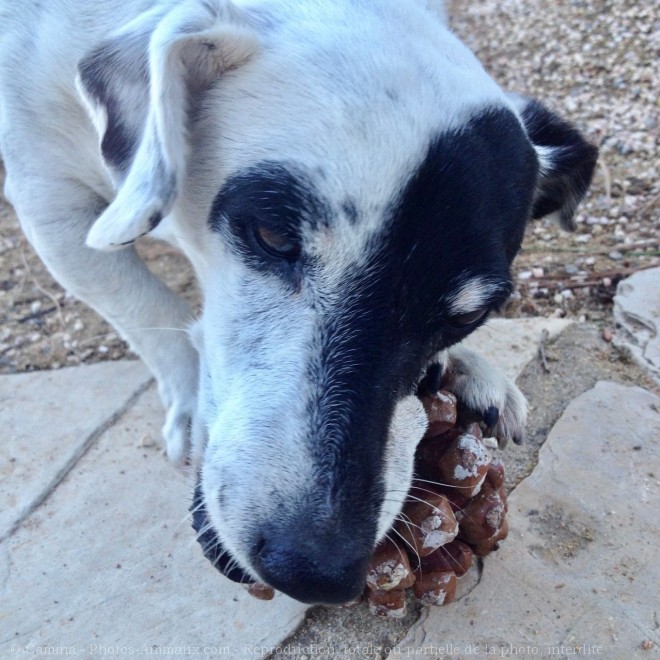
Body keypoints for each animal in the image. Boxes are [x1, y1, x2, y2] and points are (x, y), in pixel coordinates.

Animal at [0, 0, 600, 604]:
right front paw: (190, 406)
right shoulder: (50, 203)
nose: (315, 569)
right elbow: (148, 309)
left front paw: (468, 368)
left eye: (472, 315)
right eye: (272, 236)